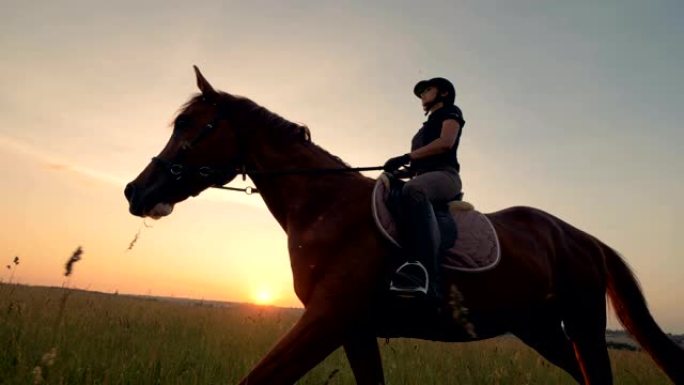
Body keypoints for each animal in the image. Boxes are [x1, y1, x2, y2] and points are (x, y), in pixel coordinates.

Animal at [124, 66, 684, 384]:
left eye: (188, 126)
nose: (135, 192)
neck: (324, 208)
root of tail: (581, 237)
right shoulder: (352, 329)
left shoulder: (327, 321)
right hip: (539, 328)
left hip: (583, 321)